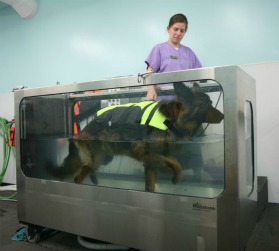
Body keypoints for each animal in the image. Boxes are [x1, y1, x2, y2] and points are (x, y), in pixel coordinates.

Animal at [47, 83, 224, 192]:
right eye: (206, 104)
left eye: (211, 102)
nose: (223, 116)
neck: (171, 120)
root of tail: (85, 128)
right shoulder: (144, 154)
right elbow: (174, 162)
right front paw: (176, 177)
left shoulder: (149, 163)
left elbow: (150, 186)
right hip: (97, 158)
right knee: (78, 176)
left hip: (103, 159)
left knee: (86, 170)